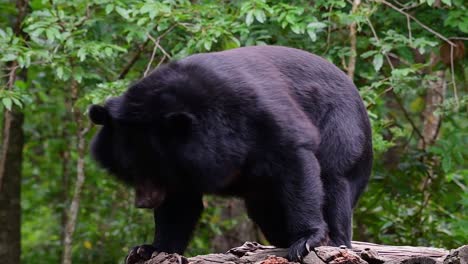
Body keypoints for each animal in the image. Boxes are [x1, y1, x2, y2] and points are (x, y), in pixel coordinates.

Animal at [88, 45, 372, 262]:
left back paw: (335, 242)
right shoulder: (184, 170)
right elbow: (179, 206)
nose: (144, 202)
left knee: (334, 180)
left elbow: (295, 160)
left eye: (156, 169)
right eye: (130, 170)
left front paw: (307, 240)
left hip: (342, 129)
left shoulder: (262, 116)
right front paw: (149, 249)